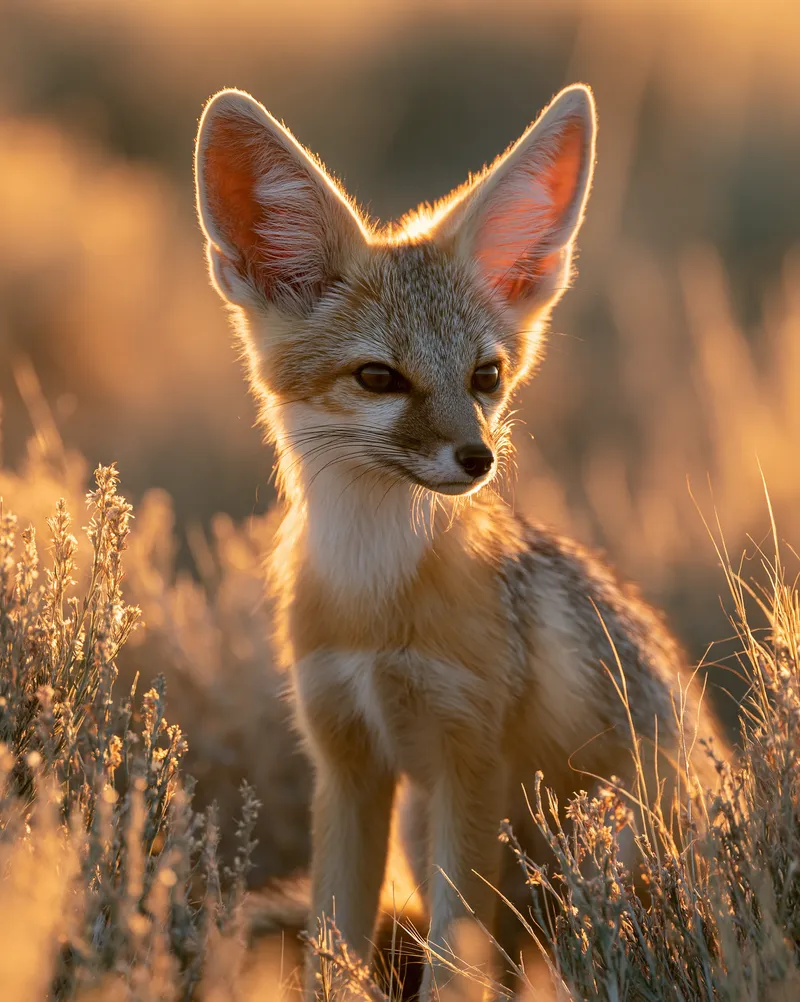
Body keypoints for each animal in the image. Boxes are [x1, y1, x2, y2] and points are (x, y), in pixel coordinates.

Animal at [193, 83, 726, 998]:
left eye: (487, 376)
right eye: (379, 377)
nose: (478, 459)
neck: (373, 599)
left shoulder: (470, 761)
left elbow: (452, 960)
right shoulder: (347, 761)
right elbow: (333, 945)